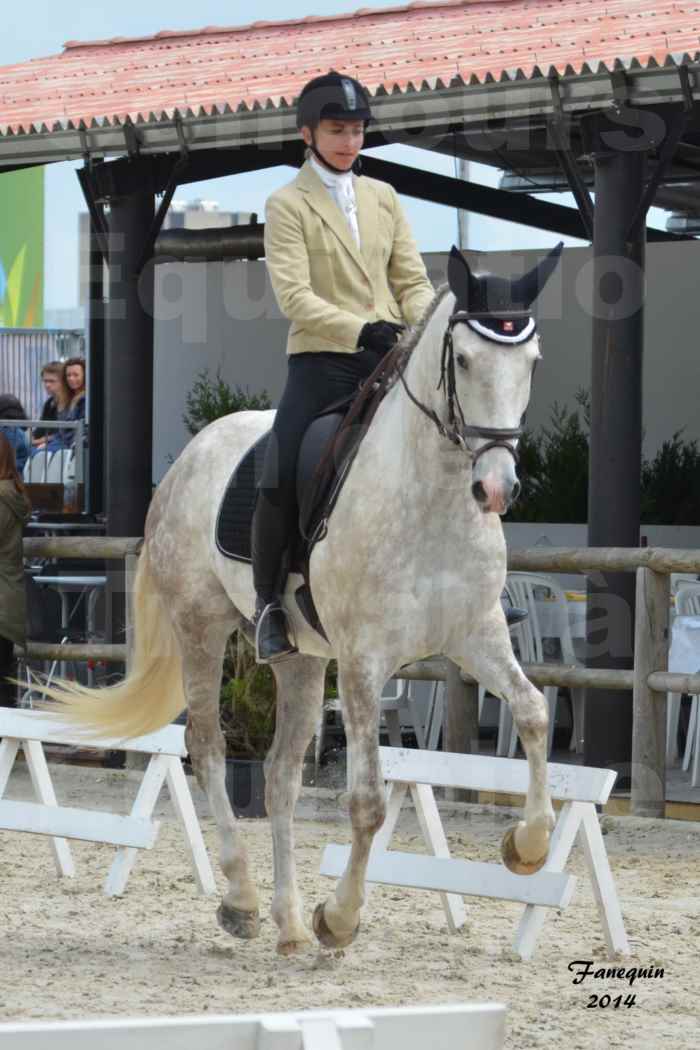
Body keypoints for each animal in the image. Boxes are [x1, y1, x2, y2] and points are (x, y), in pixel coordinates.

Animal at [43, 243, 562, 953]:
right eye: (462, 360)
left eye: (531, 362)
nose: (496, 487)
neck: (430, 497)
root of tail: (191, 457)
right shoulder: (366, 662)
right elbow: (368, 801)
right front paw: (338, 919)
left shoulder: (475, 635)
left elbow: (534, 712)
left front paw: (527, 846)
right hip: (201, 628)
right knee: (208, 748)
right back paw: (242, 901)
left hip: (301, 660)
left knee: (279, 773)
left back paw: (287, 922)